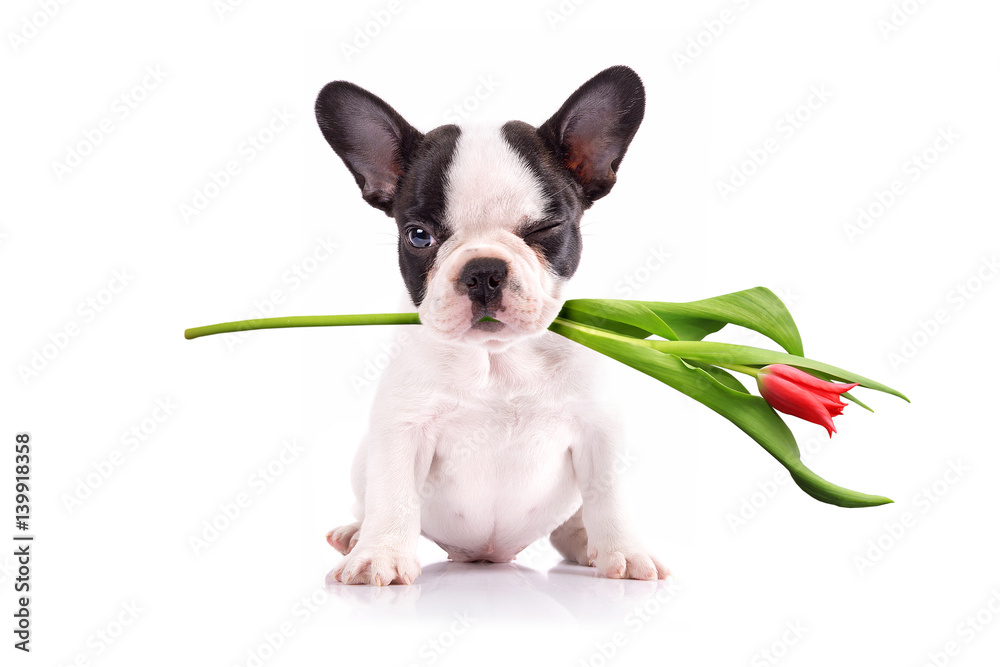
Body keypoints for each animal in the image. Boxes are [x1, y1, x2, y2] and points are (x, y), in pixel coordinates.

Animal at [316, 66, 668, 584]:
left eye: (546, 228)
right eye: (418, 236)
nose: (483, 270)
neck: (498, 359)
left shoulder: (598, 430)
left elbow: (610, 496)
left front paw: (624, 550)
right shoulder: (402, 430)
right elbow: (393, 494)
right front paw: (379, 554)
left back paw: (584, 541)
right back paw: (354, 534)